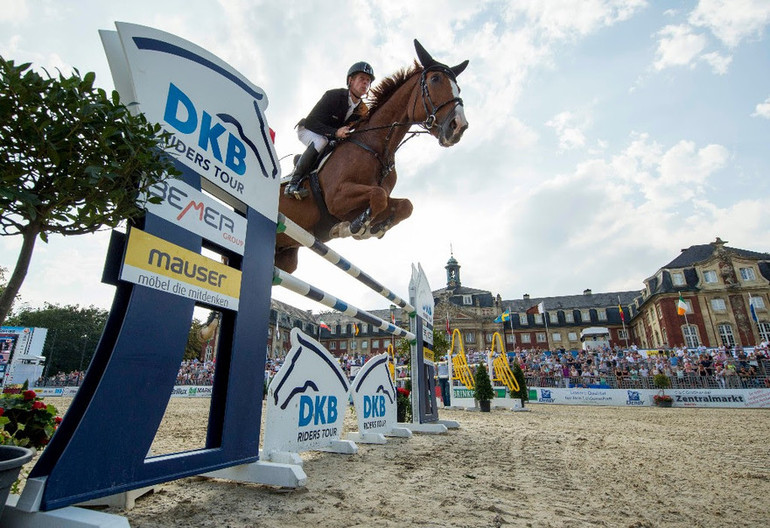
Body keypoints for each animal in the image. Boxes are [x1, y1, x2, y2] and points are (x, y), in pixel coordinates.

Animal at [276, 39, 468, 272]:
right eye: (435, 79)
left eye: (458, 87)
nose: (459, 126)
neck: (377, 147)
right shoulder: (336, 198)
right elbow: (378, 196)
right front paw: (354, 227)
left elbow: (404, 205)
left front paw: (375, 228)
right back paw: (294, 188)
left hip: (285, 256)